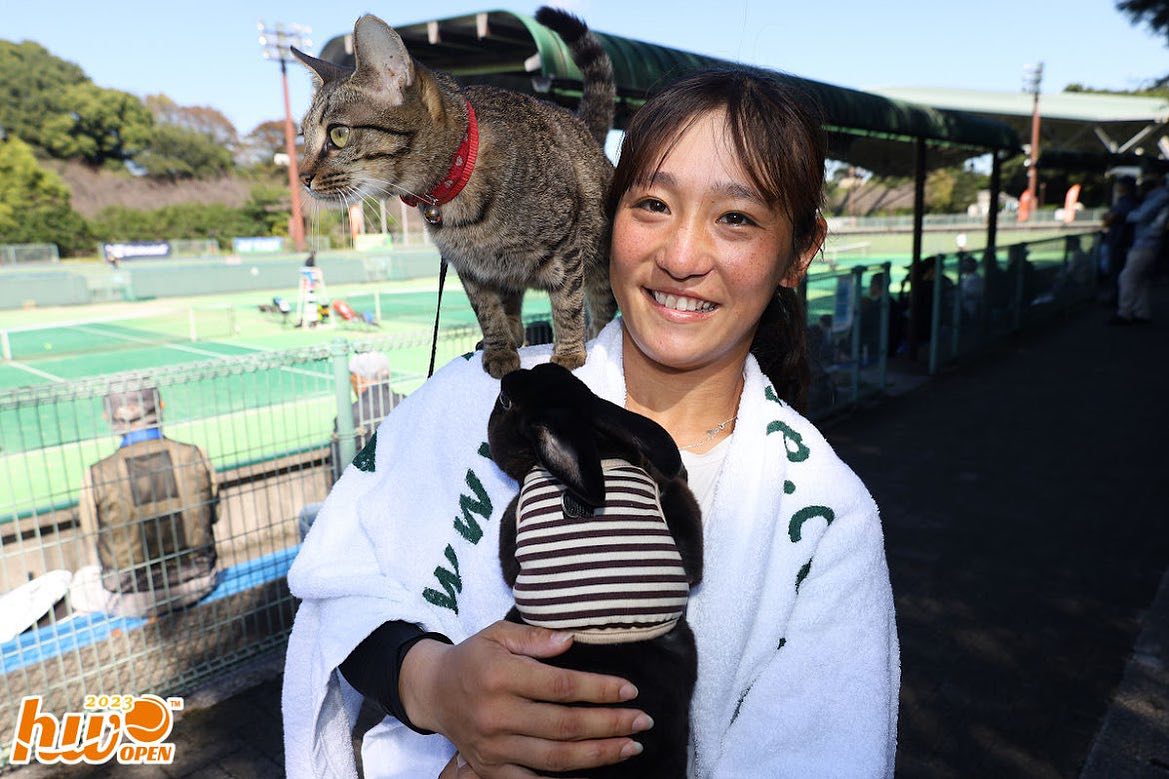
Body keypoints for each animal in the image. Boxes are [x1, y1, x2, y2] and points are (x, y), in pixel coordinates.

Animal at [294, 7, 621, 376]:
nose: (302, 176)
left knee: (599, 303)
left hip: (598, 257)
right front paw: (499, 349)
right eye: (304, 136)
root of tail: (582, 126)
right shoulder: (470, 268)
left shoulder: (566, 250)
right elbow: (488, 313)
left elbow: (567, 305)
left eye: (338, 134)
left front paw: (569, 353)